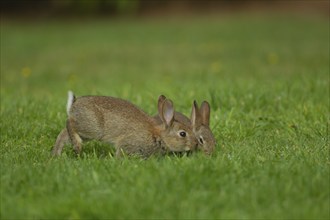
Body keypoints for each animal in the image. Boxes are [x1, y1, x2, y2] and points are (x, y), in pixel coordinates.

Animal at [51, 91, 196, 158]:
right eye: (183, 134)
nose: (195, 144)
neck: (158, 135)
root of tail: (74, 103)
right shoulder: (128, 142)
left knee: (63, 133)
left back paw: (56, 155)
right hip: (93, 128)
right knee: (69, 123)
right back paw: (77, 146)